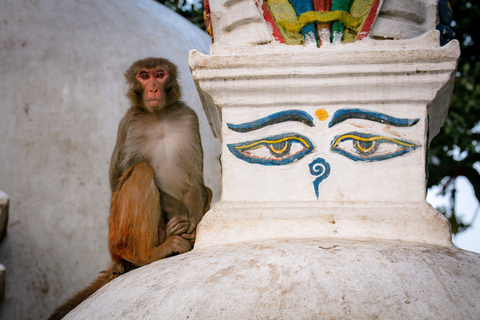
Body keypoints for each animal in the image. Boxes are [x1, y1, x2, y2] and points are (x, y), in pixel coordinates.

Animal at [48, 57, 212, 320]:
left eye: (160, 74)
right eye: (144, 76)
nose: (153, 89)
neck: (159, 117)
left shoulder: (189, 119)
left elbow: (196, 181)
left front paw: (192, 226)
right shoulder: (130, 123)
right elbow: (118, 179)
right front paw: (181, 219)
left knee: (206, 189)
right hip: (116, 230)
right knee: (141, 171)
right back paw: (146, 254)